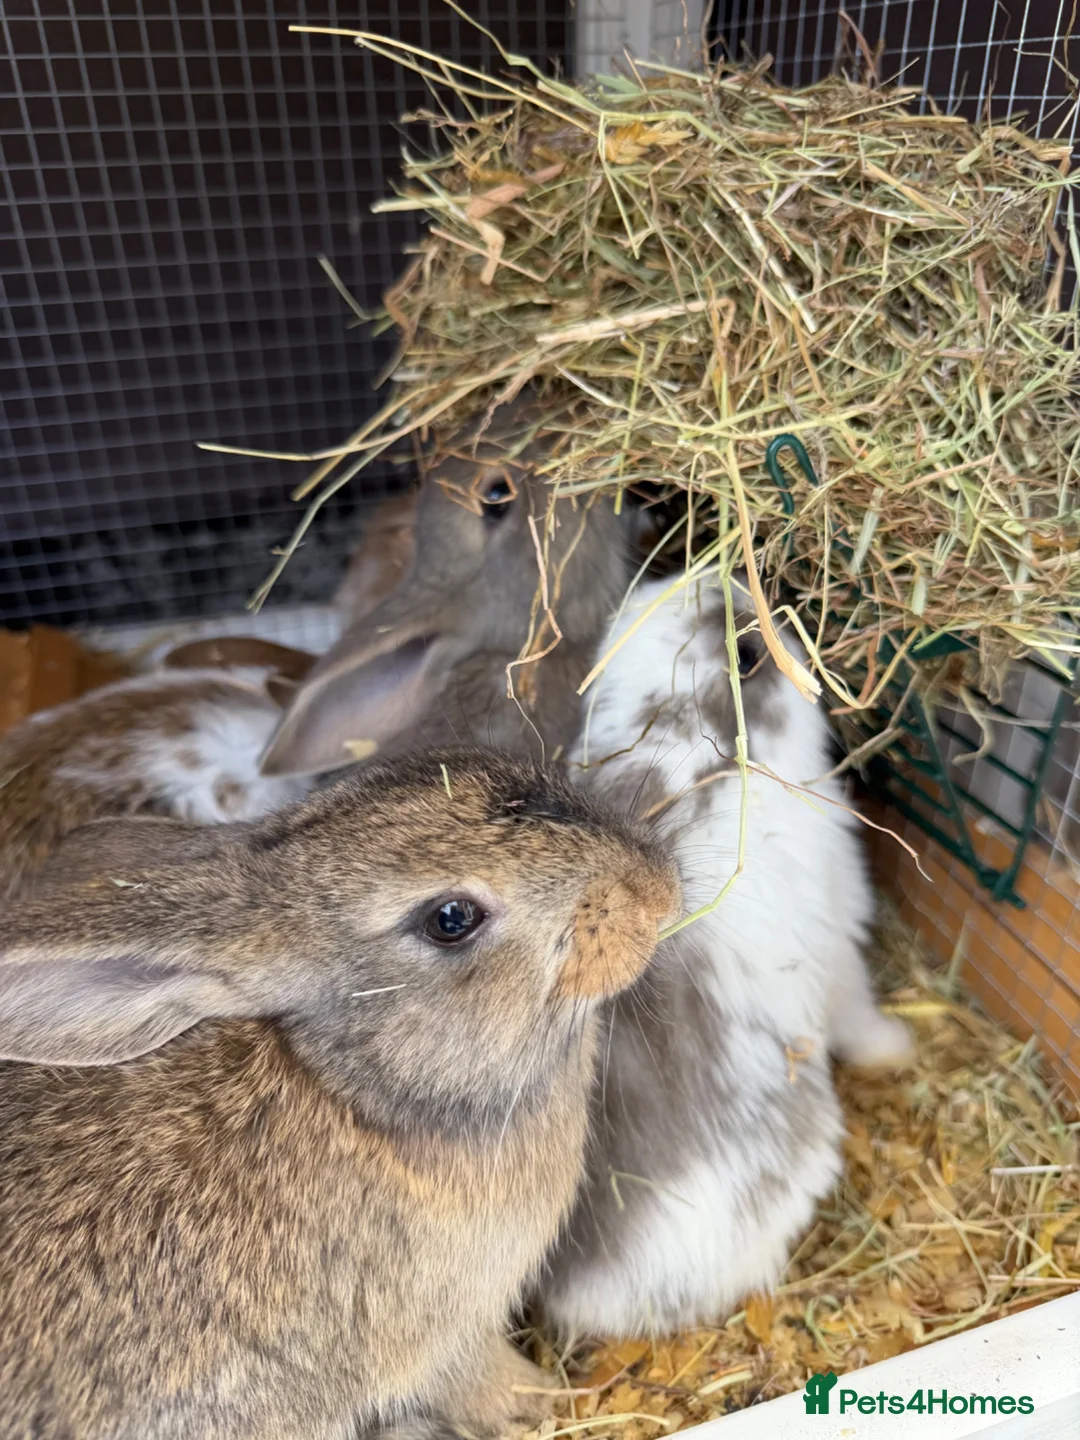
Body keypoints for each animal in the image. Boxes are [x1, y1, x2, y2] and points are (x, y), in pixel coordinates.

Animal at [0, 747, 680, 1440]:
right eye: (451, 920)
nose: (658, 889)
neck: (354, 1091)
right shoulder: (442, 1334)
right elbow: (485, 1383)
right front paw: (549, 1399)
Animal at [538, 574, 914, 1338]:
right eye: (748, 653)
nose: (724, 577)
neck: (685, 737)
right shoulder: (839, 933)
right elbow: (858, 1012)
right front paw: (898, 1049)